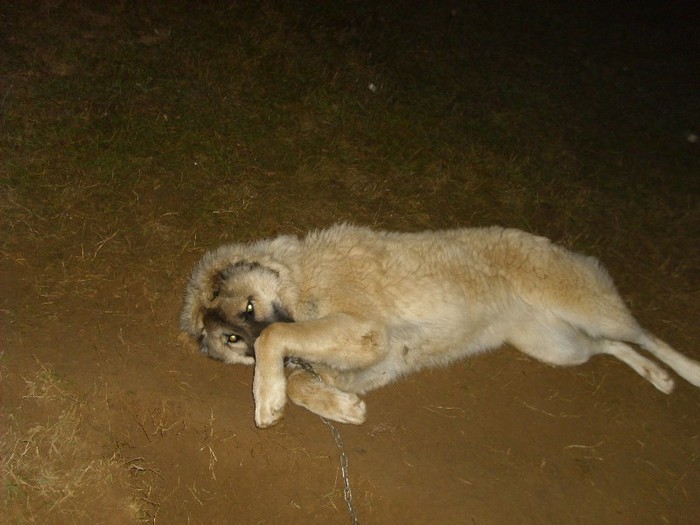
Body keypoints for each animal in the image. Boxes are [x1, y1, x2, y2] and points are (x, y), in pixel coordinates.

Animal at [180, 223, 700, 428]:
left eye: (249, 310)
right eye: (232, 340)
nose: (243, 341)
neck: (299, 276)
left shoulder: (363, 330)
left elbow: (277, 336)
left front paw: (267, 398)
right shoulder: (371, 360)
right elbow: (303, 379)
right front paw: (340, 408)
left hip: (584, 308)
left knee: (642, 333)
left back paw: (685, 371)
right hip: (557, 346)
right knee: (610, 346)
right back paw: (655, 376)